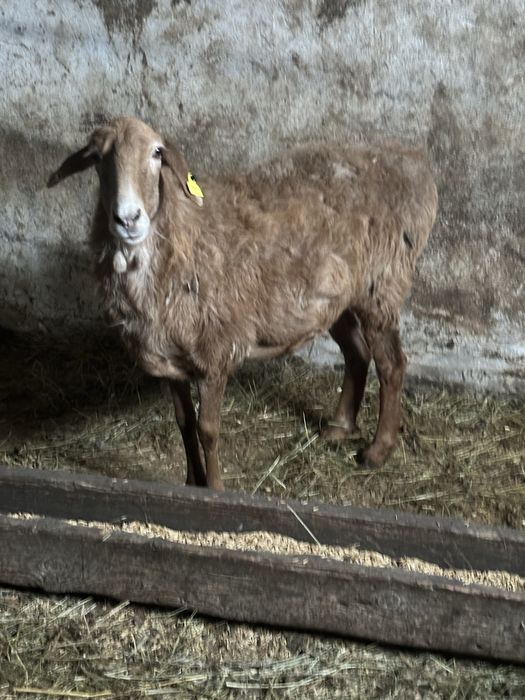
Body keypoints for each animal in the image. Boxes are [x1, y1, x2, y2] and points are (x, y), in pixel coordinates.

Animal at [48, 117, 438, 491]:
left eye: (157, 153)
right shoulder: (170, 359)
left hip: (382, 285)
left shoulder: (215, 352)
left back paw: (377, 450)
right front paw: (191, 482)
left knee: (392, 365)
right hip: (333, 298)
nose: (128, 219)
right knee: (357, 352)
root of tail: (411, 161)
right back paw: (340, 427)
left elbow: (208, 430)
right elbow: (184, 424)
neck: (182, 235)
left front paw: (216, 488)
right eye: (96, 157)